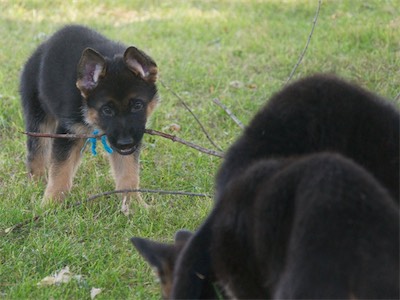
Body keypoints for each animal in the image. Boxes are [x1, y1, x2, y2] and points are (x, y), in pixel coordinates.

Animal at [19, 24, 158, 207]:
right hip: (39, 117)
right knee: (37, 152)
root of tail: (40, 49)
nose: (125, 143)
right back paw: (36, 182)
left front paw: (134, 205)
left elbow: (128, 173)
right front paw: (51, 204)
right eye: (106, 110)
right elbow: (60, 171)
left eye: (137, 105)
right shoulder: (69, 132)